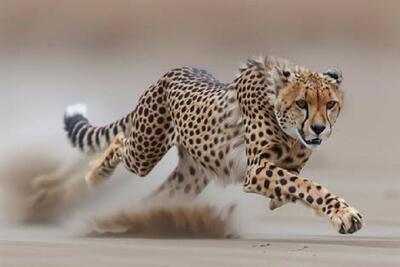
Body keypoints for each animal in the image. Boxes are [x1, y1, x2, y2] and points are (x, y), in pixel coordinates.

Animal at [65, 56, 362, 234]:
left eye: (330, 104)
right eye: (302, 103)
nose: (319, 129)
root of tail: (172, 71)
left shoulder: (284, 164)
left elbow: (296, 182)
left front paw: (279, 201)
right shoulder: (256, 170)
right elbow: (307, 186)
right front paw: (343, 214)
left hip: (188, 180)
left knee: (156, 197)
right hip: (144, 151)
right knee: (119, 141)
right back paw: (96, 177)